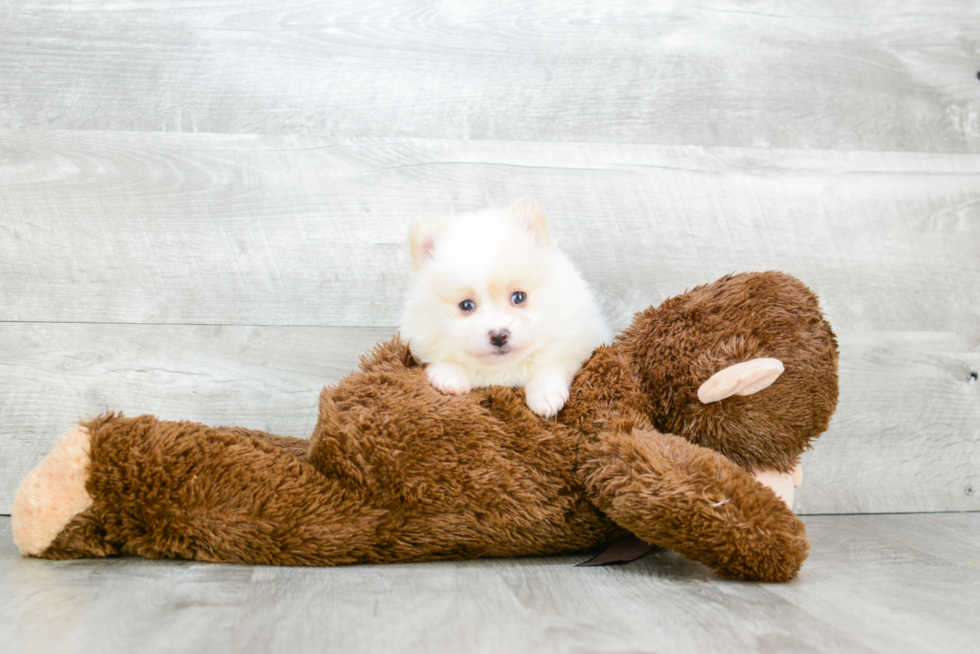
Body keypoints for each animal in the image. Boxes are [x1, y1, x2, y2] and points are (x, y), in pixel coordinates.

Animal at [402, 197, 608, 420]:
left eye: (519, 297)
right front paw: (449, 377)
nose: (498, 336)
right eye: (466, 305)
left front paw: (545, 396)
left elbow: (550, 365)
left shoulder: (577, 339)